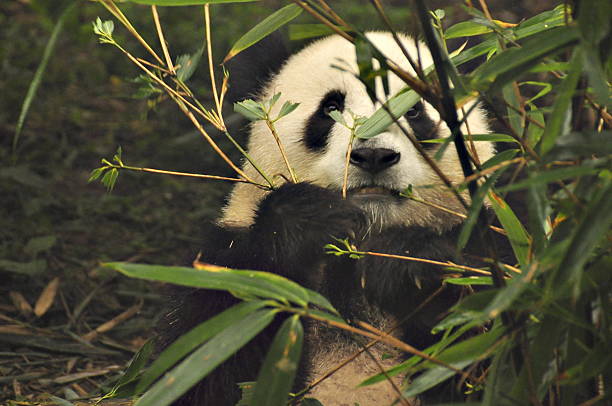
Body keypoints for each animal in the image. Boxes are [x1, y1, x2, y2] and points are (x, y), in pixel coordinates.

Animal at [161, 31, 498, 406]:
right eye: (331, 108)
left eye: (413, 110)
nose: (373, 155)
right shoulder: (223, 266)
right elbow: (210, 365)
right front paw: (307, 219)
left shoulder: (494, 238)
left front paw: (408, 265)